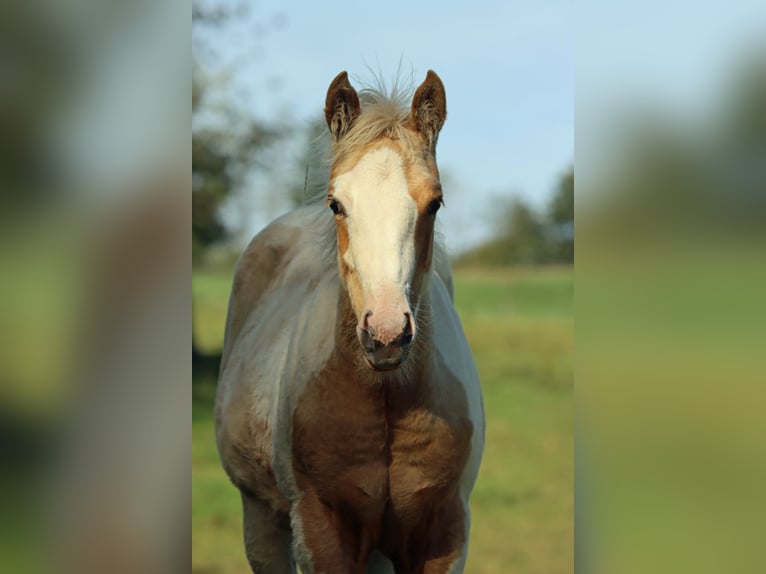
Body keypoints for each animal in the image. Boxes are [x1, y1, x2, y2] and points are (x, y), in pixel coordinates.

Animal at [215, 70, 485, 574]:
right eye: (336, 204)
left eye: (435, 203)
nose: (386, 334)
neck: (385, 396)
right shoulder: (320, 531)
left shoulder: (445, 530)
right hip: (260, 518)